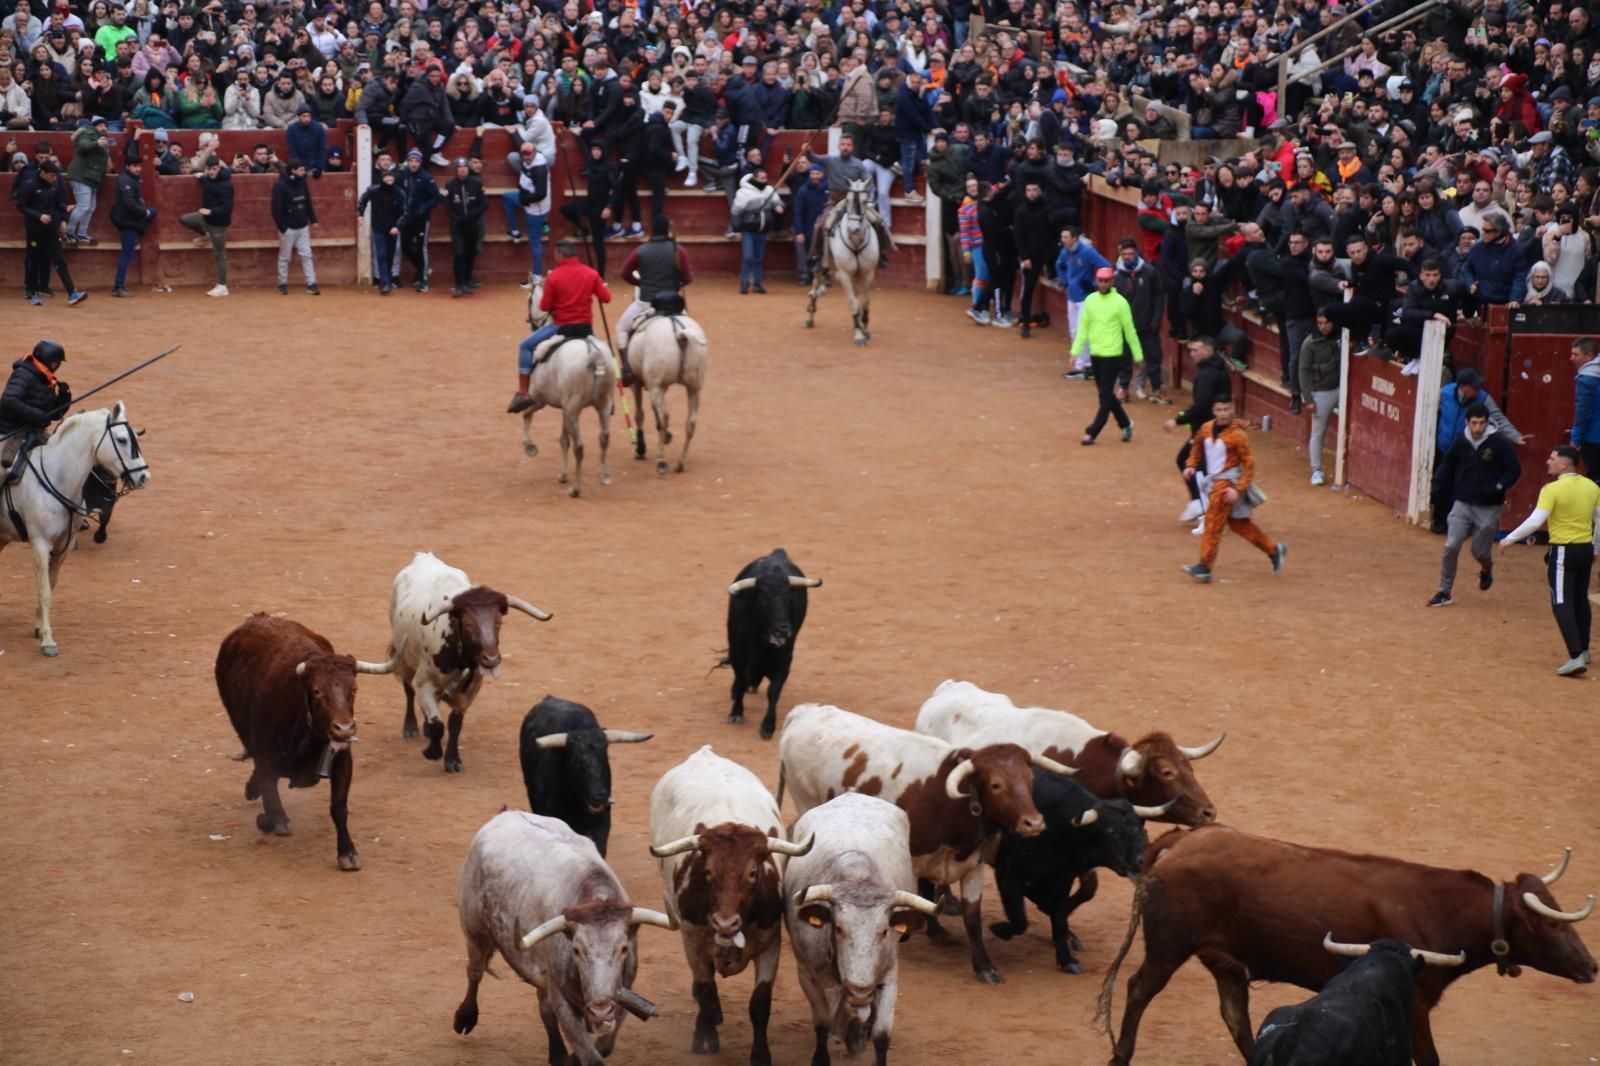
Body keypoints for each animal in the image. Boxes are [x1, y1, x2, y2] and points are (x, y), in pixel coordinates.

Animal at [0, 402, 152, 655]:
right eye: (122, 439)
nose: (144, 476)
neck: (57, 477)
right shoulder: (40, 544)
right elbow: (44, 590)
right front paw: (48, 641)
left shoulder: (64, 545)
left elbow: (50, 585)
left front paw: (39, 627)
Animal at [520, 280, 617, 498]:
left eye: (529, 299)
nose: (530, 323)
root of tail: (593, 354)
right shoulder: (565, 408)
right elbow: (564, 439)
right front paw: (563, 474)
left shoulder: (540, 400)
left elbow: (526, 415)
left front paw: (530, 446)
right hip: (603, 403)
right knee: (604, 437)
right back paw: (604, 475)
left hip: (573, 408)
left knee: (580, 446)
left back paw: (575, 489)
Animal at [623, 310, 708, 475]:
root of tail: (680, 334)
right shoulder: (658, 386)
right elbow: (652, 408)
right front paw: (666, 436)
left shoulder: (638, 383)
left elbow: (640, 414)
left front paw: (640, 449)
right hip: (693, 387)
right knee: (691, 422)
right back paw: (680, 463)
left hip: (656, 386)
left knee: (664, 416)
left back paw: (661, 459)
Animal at [805, 178, 879, 347]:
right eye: (849, 200)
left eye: (864, 201)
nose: (853, 229)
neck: (856, 241)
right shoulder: (845, 274)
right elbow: (854, 303)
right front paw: (859, 335)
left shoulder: (867, 273)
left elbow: (865, 301)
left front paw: (864, 329)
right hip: (820, 264)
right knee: (814, 287)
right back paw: (810, 315)